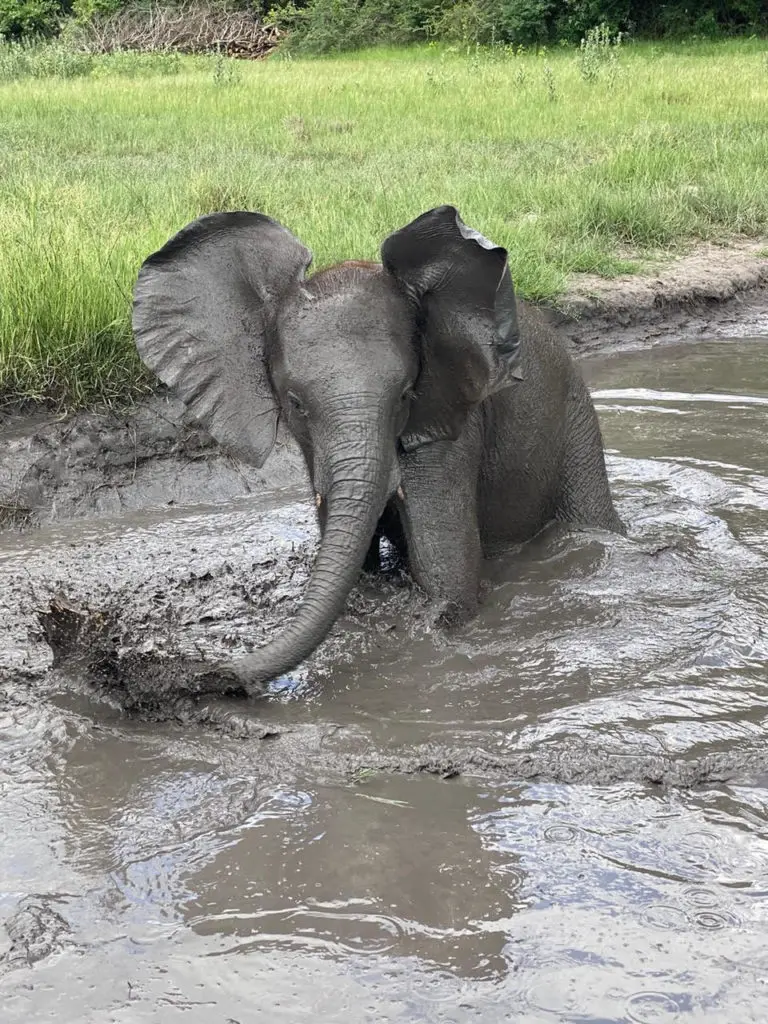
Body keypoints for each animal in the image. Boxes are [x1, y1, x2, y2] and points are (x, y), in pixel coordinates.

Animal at [132, 205, 623, 698]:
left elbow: (451, 583)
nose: (198, 673)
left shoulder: (448, 427)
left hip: (576, 421)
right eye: (295, 404)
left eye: (406, 394)